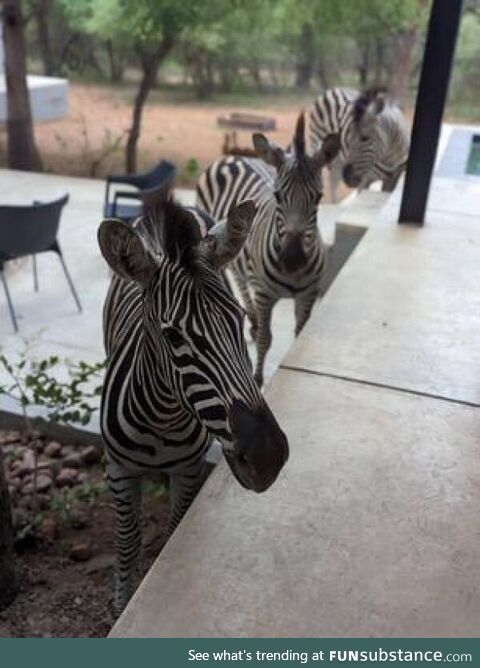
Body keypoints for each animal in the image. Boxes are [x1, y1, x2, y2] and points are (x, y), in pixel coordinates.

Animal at [97, 194, 288, 616]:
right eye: (172, 337)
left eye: (238, 321)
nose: (267, 456)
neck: (161, 419)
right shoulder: (118, 469)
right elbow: (127, 542)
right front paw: (120, 605)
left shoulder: (187, 468)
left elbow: (171, 529)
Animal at [196, 113, 342, 386]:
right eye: (277, 196)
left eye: (319, 197)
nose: (293, 260)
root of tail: (234, 156)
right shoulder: (264, 295)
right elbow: (266, 338)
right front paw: (258, 377)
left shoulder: (308, 295)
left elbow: (298, 333)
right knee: (240, 283)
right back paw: (252, 322)